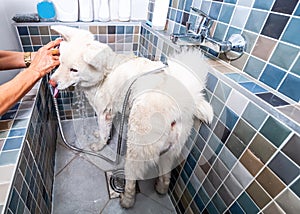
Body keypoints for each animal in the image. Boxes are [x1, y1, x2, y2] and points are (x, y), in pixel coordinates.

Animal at [49, 25, 213, 208]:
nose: (51, 82)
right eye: (60, 62)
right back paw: (160, 188)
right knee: (166, 176)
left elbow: (104, 133)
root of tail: (178, 100)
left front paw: (99, 145)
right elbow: (105, 130)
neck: (105, 74)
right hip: (171, 150)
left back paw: (127, 200)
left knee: (132, 178)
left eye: (74, 70)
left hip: (136, 149)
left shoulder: (104, 113)